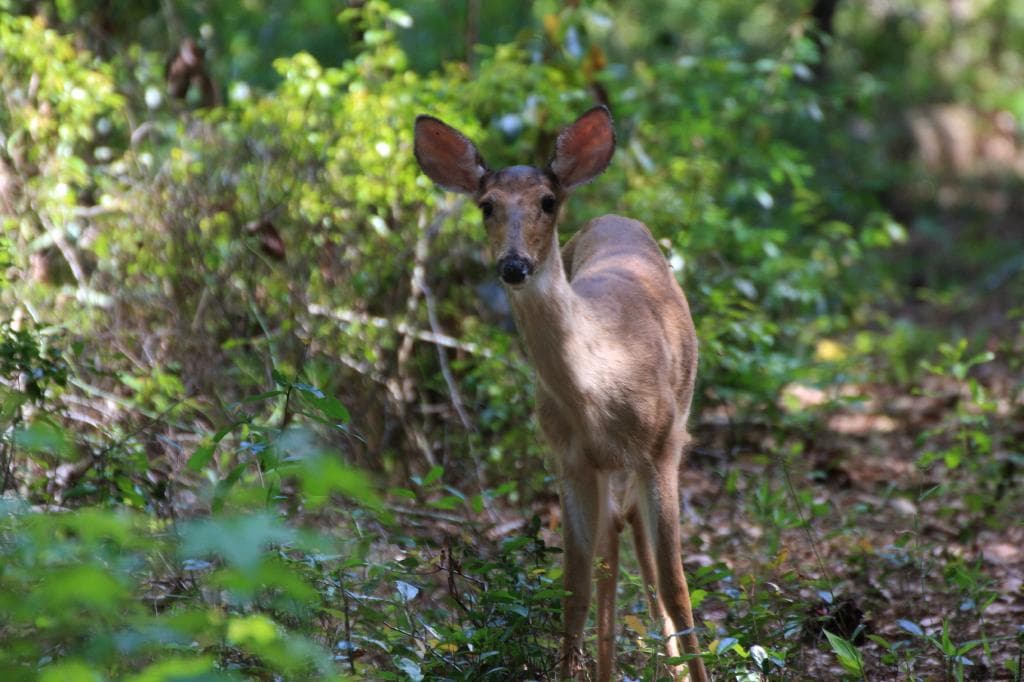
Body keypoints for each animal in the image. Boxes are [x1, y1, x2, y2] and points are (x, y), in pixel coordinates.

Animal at [413, 106, 708, 682]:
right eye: (486, 205)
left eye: (548, 202)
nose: (513, 265)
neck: (599, 386)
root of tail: (615, 217)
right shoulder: (568, 458)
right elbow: (574, 587)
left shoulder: (661, 447)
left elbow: (676, 585)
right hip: (605, 468)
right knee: (613, 542)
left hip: (667, 433)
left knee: (639, 548)